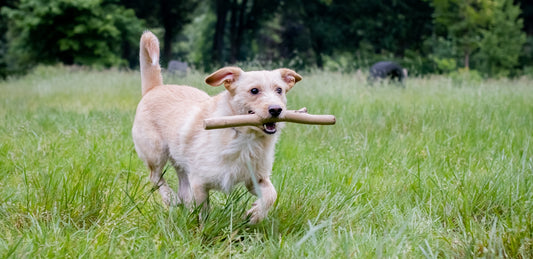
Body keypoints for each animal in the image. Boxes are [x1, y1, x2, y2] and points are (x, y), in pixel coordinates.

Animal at [131, 31, 302, 224]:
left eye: (279, 90)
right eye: (254, 91)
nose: (276, 109)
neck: (245, 137)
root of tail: (154, 88)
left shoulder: (256, 178)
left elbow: (271, 195)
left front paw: (255, 214)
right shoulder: (199, 181)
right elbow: (203, 210)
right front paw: (203, 228)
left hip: (180, 160)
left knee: (182, 187)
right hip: (156, 152)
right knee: (155, 177)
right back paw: (170, 197)